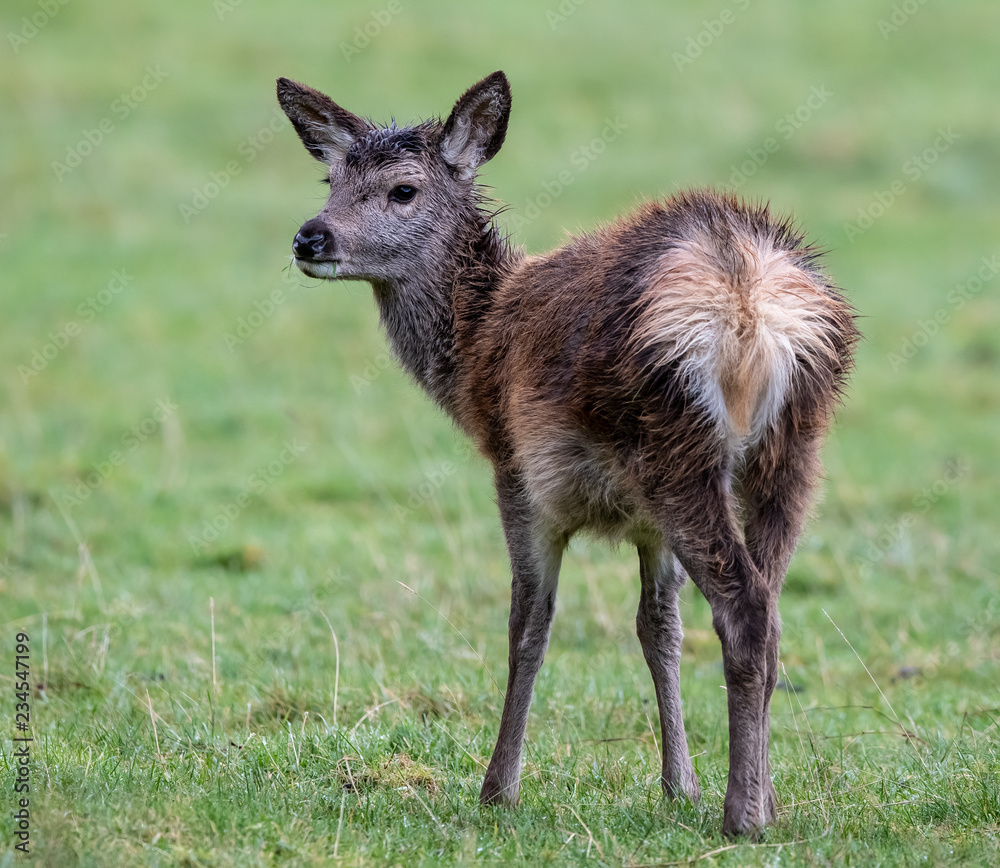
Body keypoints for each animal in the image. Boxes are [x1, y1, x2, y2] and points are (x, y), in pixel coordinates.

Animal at [276, 70, 858, 837]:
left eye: (403, 189)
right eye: (331, 177)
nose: (309, 237)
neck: (474, 353)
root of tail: (745, 297)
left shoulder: (518, 470)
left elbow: (529, 622)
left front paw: (497, 788)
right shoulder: (645, 523)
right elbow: (658, 627)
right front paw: (679, 785)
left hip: (673, 441)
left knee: (746, 606)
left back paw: (743, 817)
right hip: (793, 443)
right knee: (772, 603)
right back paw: (764, 800)